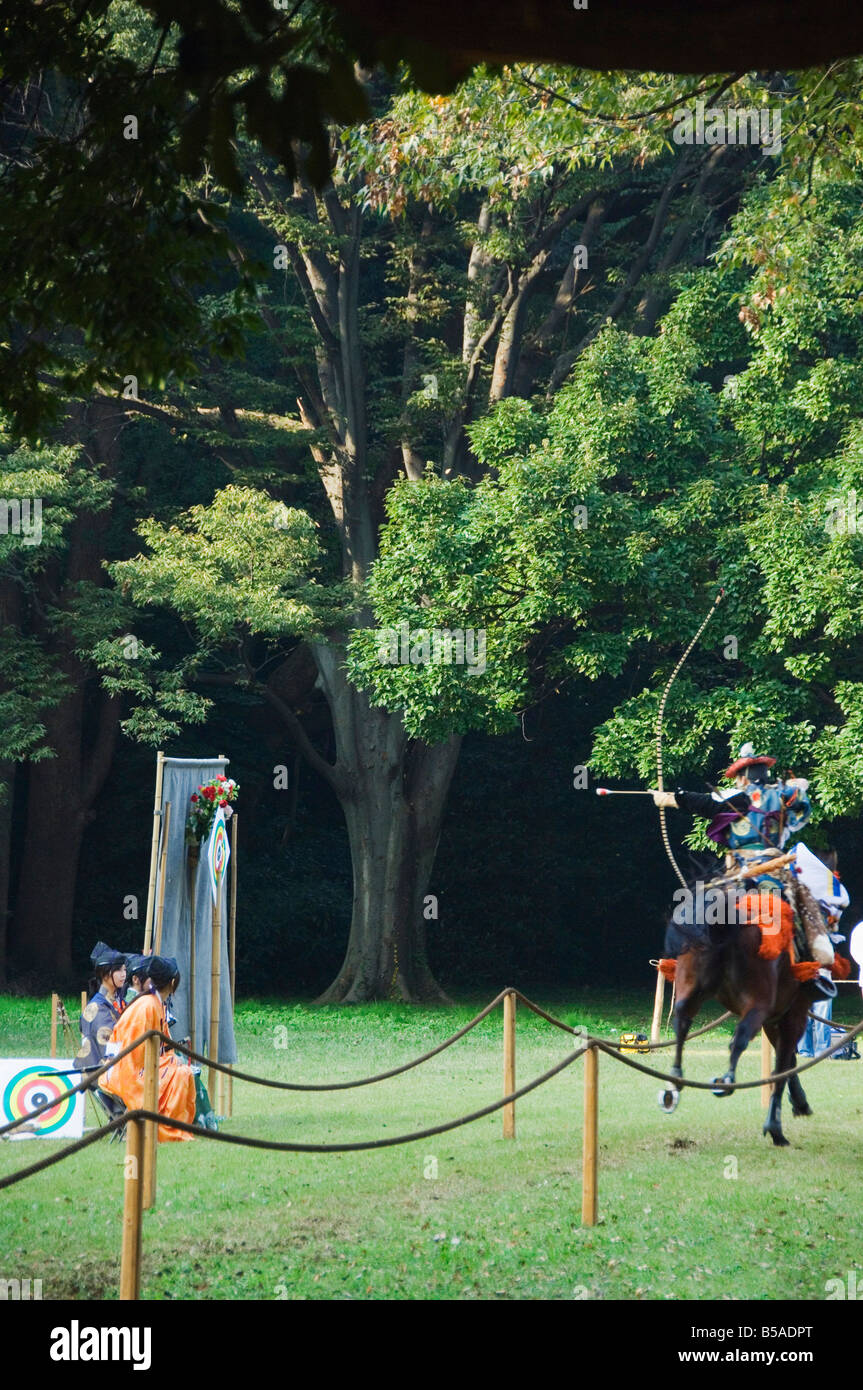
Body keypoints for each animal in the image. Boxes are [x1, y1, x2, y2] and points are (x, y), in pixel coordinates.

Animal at [655, 867, 817, 1150]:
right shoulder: (791, 1014)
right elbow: (783, 1065)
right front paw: (777, 1126)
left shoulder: (774, 1018)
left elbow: (786, 1060)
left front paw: (797, 1103)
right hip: (758, 1003)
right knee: (739, 1037)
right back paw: (727, 1081)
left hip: (692, 985)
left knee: (682, 1020)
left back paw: (675, 1080)